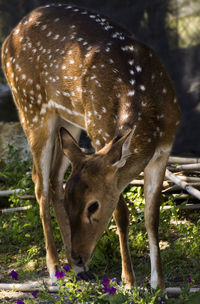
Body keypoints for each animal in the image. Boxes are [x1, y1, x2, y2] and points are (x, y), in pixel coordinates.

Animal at [1, 4, 180, 290]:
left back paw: (77, 270)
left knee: (54, 179)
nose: (78, 254)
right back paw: (55, 269)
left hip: (69, 120)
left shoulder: (164, 149)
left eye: (92, 206)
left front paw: (159, 286)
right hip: (31, 106)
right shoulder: (100, 134)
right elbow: (121, 212)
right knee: (38, 181)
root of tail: (8, 39)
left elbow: (152, 217)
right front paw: (129, 282)